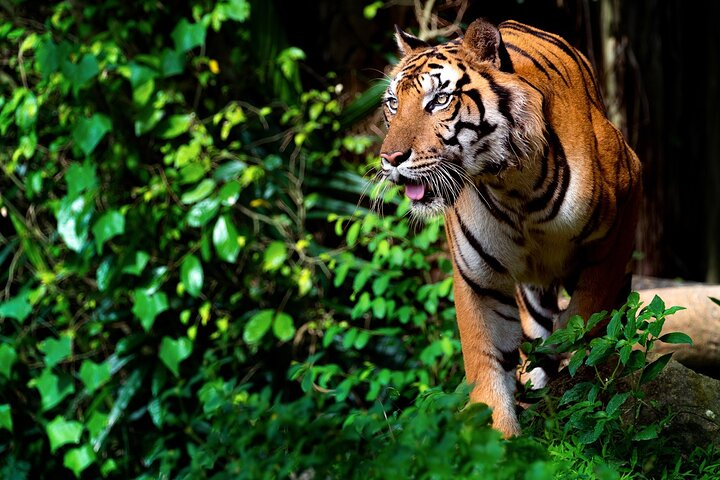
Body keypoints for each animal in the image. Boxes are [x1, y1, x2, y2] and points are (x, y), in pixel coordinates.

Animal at [377, 18, 642, 437]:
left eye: (439, 100)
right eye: (392, 104)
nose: (389, 158)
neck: (514, 186)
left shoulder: (625, 205)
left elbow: (588, 310)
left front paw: (570, 345)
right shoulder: (478, 279)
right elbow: (485, 362)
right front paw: (500, 440)